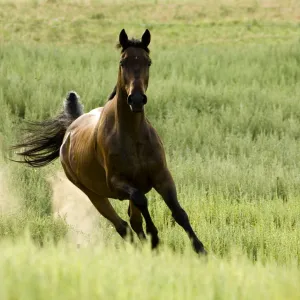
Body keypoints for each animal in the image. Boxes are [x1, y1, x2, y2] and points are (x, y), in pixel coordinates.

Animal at [11, 29, 206, 254]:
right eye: (123, 62)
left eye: (148, 62)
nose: (136, 99)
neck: (133, 137)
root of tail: (70, 129)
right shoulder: (118, 182)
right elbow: (142, 200)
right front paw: (155, 237)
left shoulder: (162, 176)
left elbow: (178, 212)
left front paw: (200, 249)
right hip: (94, 195)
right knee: (123, 227)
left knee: (133, 222)